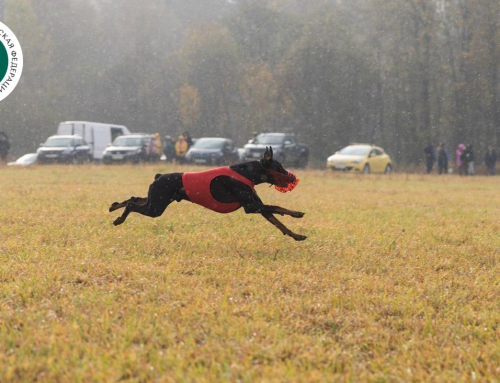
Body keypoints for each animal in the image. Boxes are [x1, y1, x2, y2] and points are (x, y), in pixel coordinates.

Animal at [108, 148, 306, 242]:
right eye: (280, 167)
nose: (292, 177)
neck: (247, 173)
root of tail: (158, 176)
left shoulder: (257, 206)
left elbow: (278, 222)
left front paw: (296, 235)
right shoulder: (251, 206)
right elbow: (278, 207)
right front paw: (297, 213)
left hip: (156, 200)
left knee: (133, 198)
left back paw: (114, 206)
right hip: (156, 206)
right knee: (132, 204)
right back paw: (119, 219)